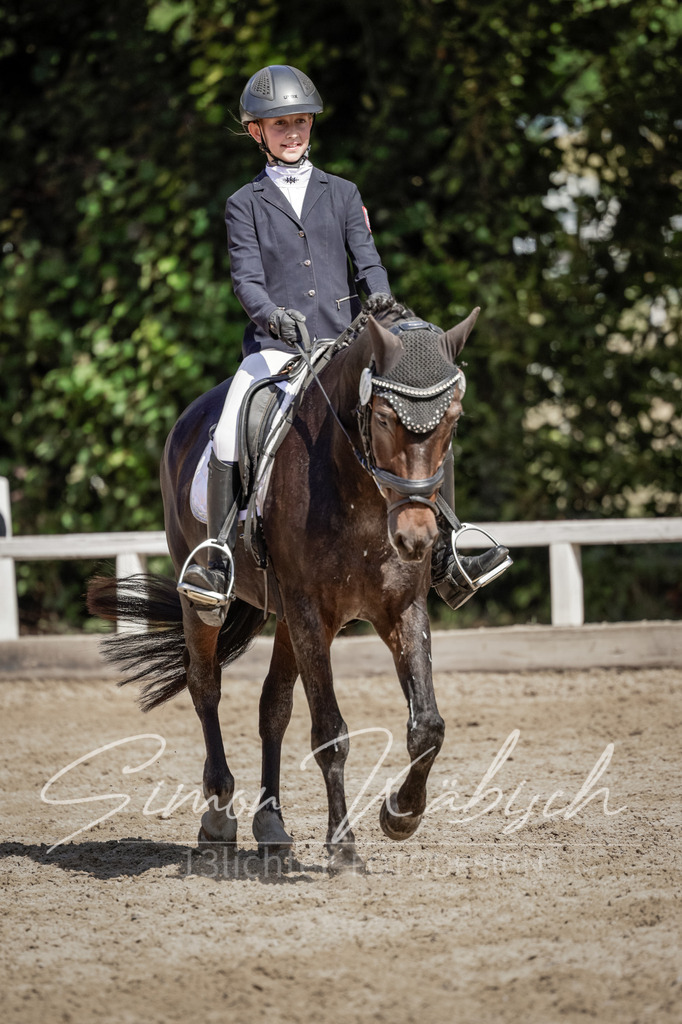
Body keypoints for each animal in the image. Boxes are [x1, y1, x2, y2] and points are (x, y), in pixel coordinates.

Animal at [87, 297, 479, 873]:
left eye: (452, 420)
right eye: (385, 418)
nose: (416, 537)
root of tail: (186, 420)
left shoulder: (400, 607)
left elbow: (428, 725)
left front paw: (400, 815)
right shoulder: (309, 610)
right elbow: (330, 733)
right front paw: (344, 847)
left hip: (290, 618)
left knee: (272, 707)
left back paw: (270, 825)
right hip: (209, 601)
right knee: (205, 687)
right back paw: (219, 819)